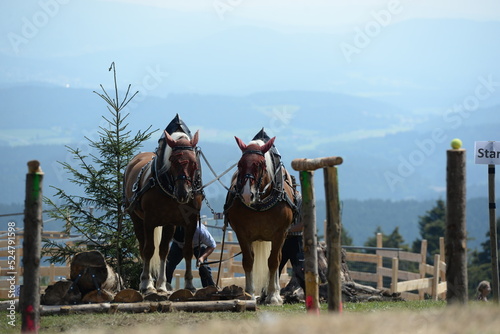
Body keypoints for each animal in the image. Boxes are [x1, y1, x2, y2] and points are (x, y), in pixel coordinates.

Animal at [123, 119, 201, 292]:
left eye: (194, 162)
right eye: (172, 161)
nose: (183, 193)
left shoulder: (190, 221)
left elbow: (186, 251)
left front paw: (189, 283)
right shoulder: (149, 220)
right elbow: (148, 250)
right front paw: (146, 283)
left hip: (168, 224)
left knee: (163, 250)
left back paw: (161, 284)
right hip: (136, 219)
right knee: (143, 247)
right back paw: (148, 282)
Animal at [226, 132, 298, 304]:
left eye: (261, 165)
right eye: (240, 165)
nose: (247, 194)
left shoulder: (280, 233)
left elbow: (273, 262)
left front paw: (273, 295)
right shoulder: (242, 233)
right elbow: (248, 261)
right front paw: (249, 294)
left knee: (278, 259)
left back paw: (274, 292)